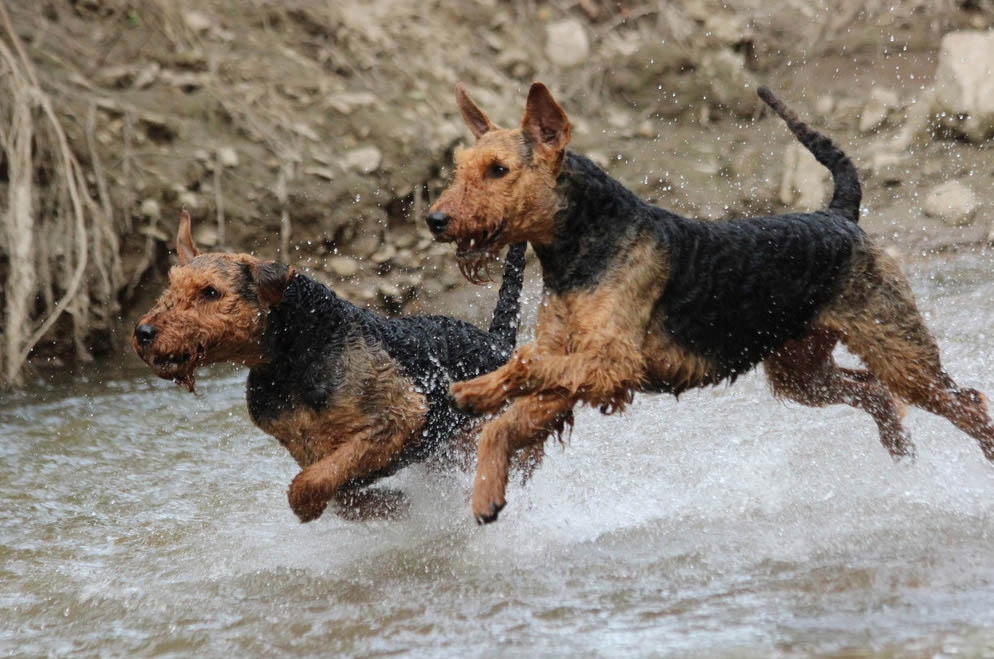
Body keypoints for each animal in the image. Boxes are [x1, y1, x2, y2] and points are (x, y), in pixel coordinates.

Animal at [136, 211, 532, 520]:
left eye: (211, 292)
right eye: (170, 285)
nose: (143, 332)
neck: (299, 350)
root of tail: (497, 340)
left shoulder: (399, 415)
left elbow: (319, 478)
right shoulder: (301, 444)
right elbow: (336, 489)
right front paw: (390, 505)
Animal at [426, 84, 992, 524]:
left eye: (498, 169)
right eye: (461, 167)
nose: (435, 219)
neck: (583, 244)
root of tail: (840, 214)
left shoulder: (610, 363)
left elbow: (521, 366)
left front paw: (474, 392)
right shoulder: (573, 369)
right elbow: (506, 420)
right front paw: (487, 489)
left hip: (898, 351)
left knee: (966, 402)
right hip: (801, 372)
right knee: (875, 392)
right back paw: (899, 450)